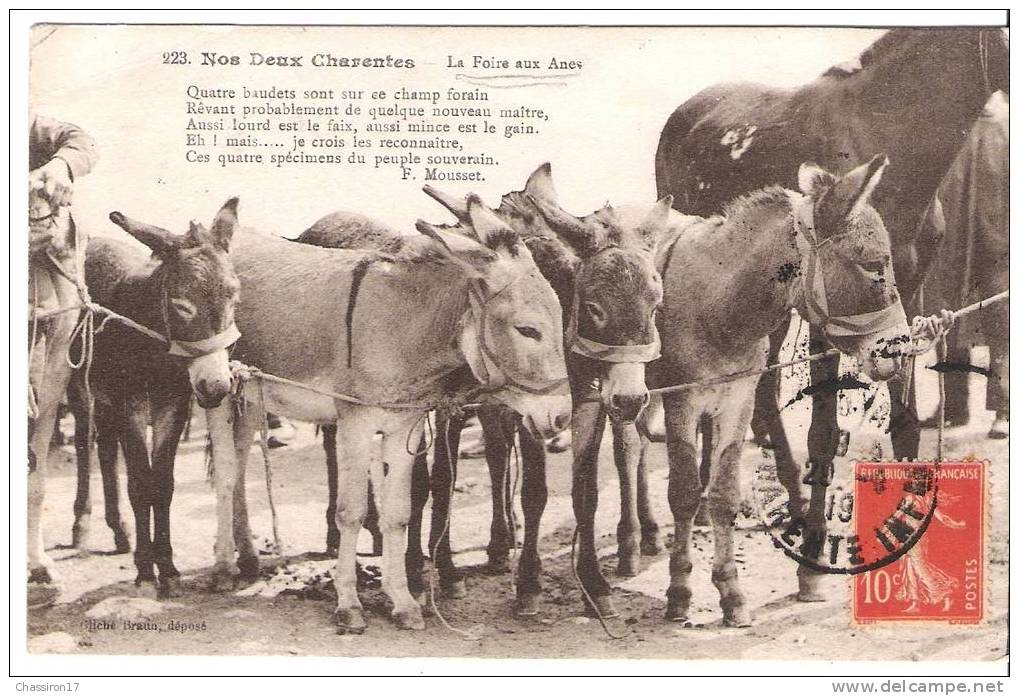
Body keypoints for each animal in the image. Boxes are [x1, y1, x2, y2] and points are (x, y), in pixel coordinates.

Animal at [71, 198, 240, 595]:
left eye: (234, 295)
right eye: (181, 305)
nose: (216, 387)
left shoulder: (173, 408)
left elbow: (162, 485)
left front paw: (168, 568)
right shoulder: (131, 407)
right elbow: (139, 484)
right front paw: (146, 572)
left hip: (108, 403)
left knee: (105, 451)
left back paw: (120, 532)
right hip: (84, 391)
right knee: (85, 446)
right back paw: (82, 527)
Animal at [656, 28, 1006, 599]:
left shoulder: (906, 302)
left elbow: (905, 423)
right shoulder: (828, 317)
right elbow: (821, 432)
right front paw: (813, 561)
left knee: (761, 389)